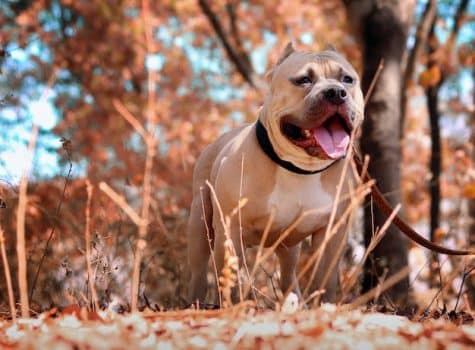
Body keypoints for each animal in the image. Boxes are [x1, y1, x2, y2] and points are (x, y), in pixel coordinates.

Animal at [186, 42, 364, 304]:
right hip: (201, 226)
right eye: (303, 80)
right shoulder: (230, 230)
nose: (335, 92)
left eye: (347, 79)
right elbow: (231, 280)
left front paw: (324, 305)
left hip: (289, 249)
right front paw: (235, 306)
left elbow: (325, 279)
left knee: (288, 276)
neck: (299, 167)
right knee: (198, 271)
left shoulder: (332, 234)